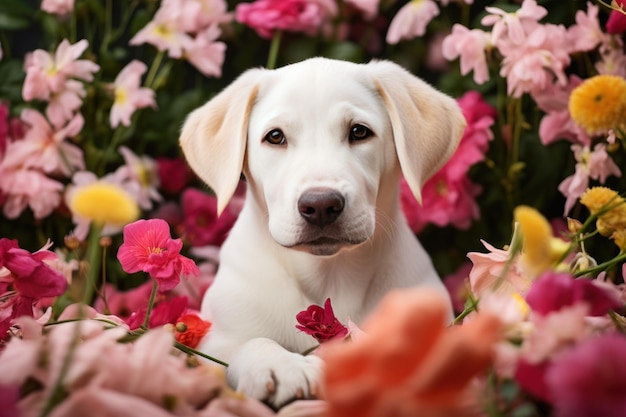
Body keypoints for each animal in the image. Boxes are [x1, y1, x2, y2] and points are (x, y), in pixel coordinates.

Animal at [178, 57, 466, 408]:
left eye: (359, 131)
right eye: (275, 137)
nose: (320, 205)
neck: (329, 274)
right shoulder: (214, 342)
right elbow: (250, 343)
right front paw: (283, 366)